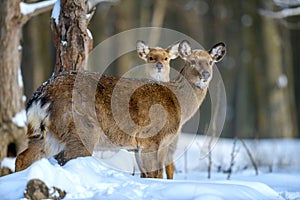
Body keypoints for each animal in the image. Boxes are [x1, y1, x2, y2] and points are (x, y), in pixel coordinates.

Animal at [15, 39, 225, 179]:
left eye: (211, 62)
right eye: (192, 61)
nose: (205, 75)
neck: (177, 102)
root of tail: (41, 95)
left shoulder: (145, 146)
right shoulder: (150, 139)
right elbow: (153, 174)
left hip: (46, 134)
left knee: (22, 158)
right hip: (82, 128)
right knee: (68, 160)